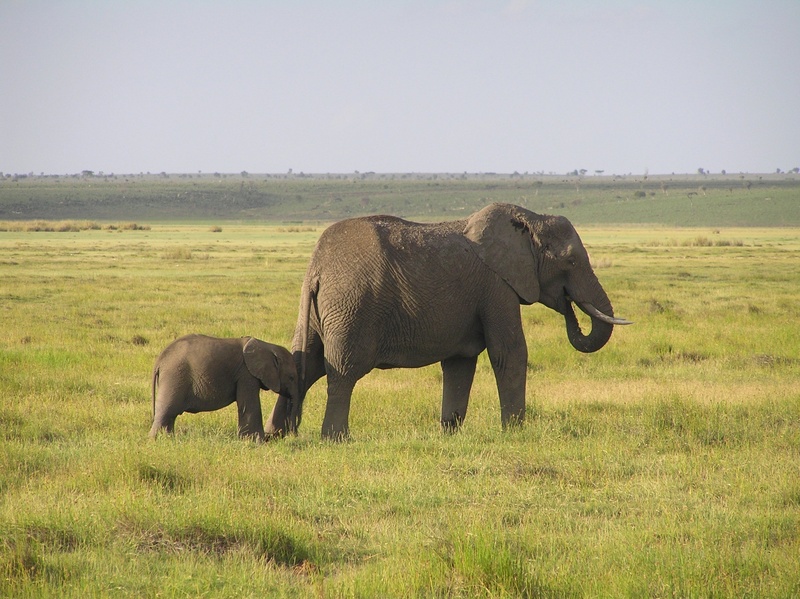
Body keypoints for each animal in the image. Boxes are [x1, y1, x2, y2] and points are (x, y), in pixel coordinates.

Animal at [150, 334, 298, 440]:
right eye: (291, 377)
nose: (293, 435)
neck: (267, 346)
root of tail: (159, 361)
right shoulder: (246, 374)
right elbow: (249, 404)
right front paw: (256, 442)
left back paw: (167, 439)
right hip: (174, 377)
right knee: (167, 411)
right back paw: (157, 440)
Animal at [265, 202, 631, 440]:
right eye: (570, 260)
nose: (570, 307)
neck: (530, 220)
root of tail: (316, 270)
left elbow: (459, 364)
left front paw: (449, 434)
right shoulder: (497, 286)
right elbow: (509, 352)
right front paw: (515, 433)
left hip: (321, 309)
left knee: (305, 363)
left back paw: (274, 435)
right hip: (352, 306)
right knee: (342, 371)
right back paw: (335, 439)